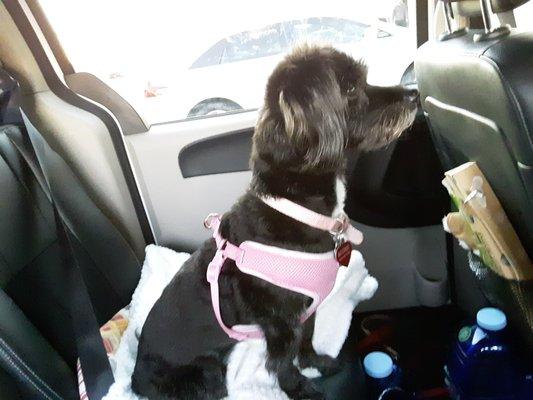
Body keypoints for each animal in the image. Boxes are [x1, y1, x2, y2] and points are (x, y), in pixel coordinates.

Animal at [131, 45, 418, 398]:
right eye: (351, 88)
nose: (414, 94)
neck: (294, 209)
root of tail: (136, 377)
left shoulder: (306, 309)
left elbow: (306, 340)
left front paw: (316, 363)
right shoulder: (279, 322)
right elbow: (282, 361)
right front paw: (299, 388)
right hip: (204, 376)